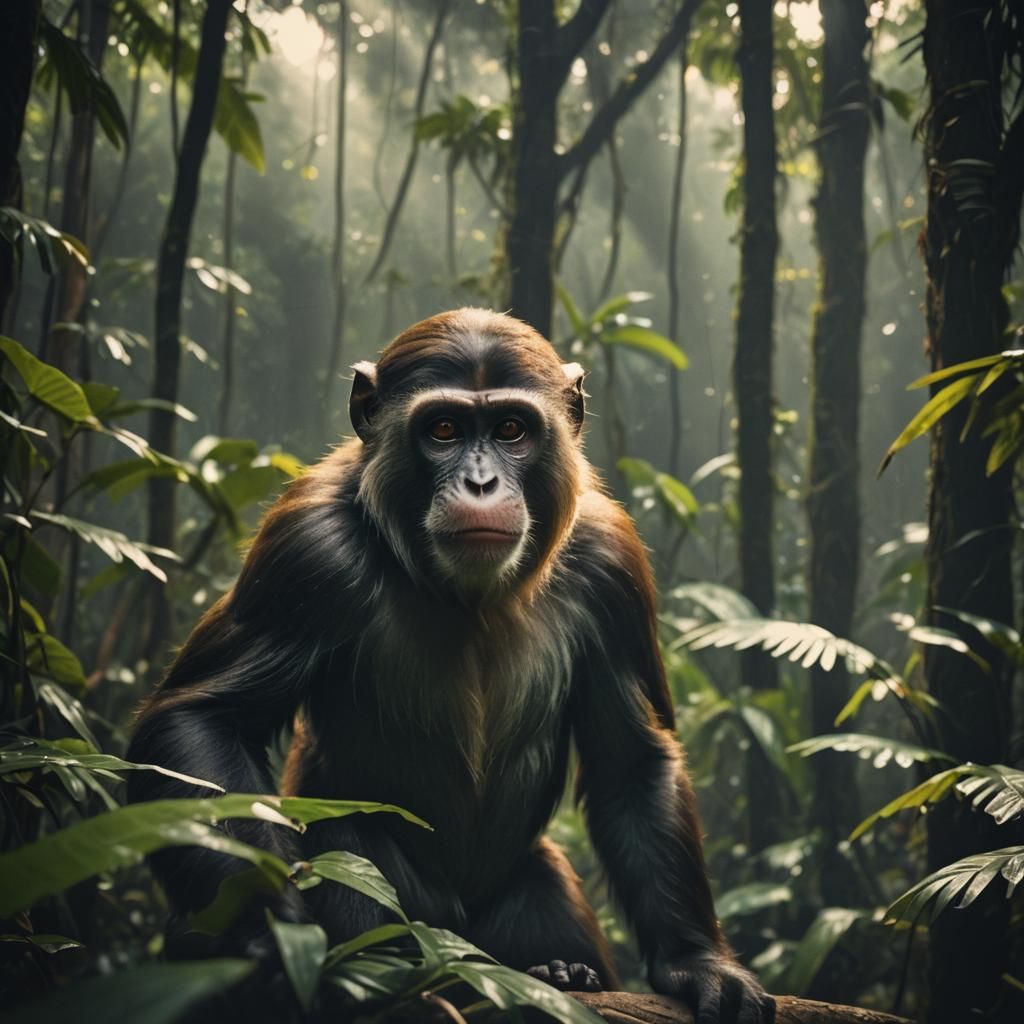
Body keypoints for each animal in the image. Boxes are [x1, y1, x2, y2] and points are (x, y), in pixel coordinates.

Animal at [127, 309, 775, 1024]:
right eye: (443, 430)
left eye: (512, 429)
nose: (482, 483)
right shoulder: (303, 551)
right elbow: (202, 718)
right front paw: (266, 932)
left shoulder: (614, 565)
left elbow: (631, 759)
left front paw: (697, 962)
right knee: (349, 852)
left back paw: (559, 970)